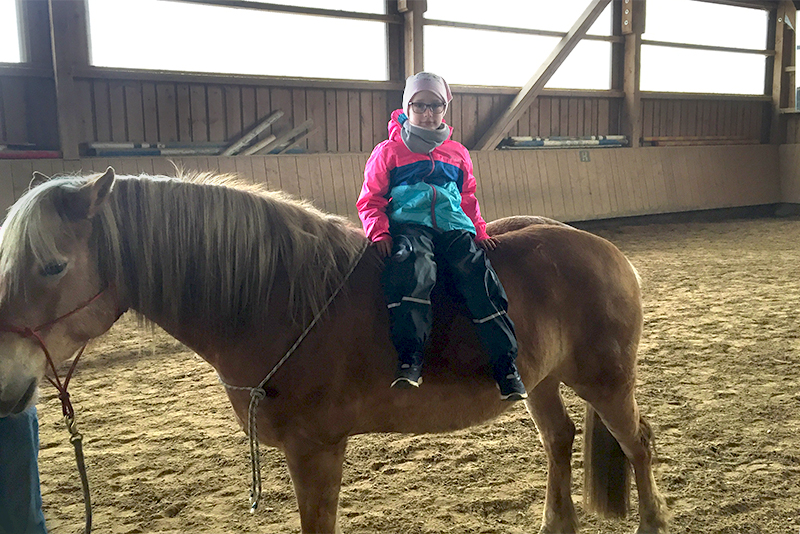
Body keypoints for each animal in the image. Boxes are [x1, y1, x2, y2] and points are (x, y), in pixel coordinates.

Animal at [0, 167, 669, 534]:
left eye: (53, 265)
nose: (8, 385)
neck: (277, 300)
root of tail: (608, 253)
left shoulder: (316, 450)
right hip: (540, 380)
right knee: (560, 439)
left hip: (607, 380)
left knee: (638, 443)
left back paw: (652, 521)